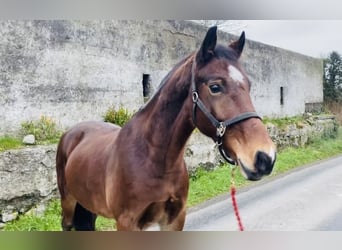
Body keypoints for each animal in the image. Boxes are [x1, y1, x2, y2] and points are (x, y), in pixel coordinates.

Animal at [55, 26, 276, 231]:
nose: (265, 157)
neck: (153, 159)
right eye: (215, 87)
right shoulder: (127, 222)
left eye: (249, 85)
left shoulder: (175, 218)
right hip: (68, 203)